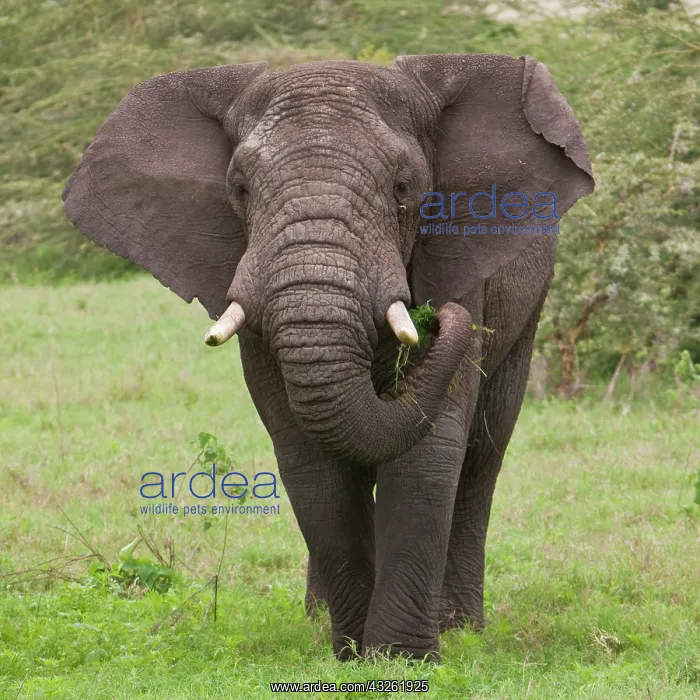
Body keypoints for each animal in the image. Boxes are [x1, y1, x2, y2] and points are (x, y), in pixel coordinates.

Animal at [63, 54, 594, 661]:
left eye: (404, 187)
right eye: (239, 189)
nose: (437, 317)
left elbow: (430, 454)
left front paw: (402, 657)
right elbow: (308, 461)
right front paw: (351, 654)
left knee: (483, 452)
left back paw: (461, 625)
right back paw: (318, 618)